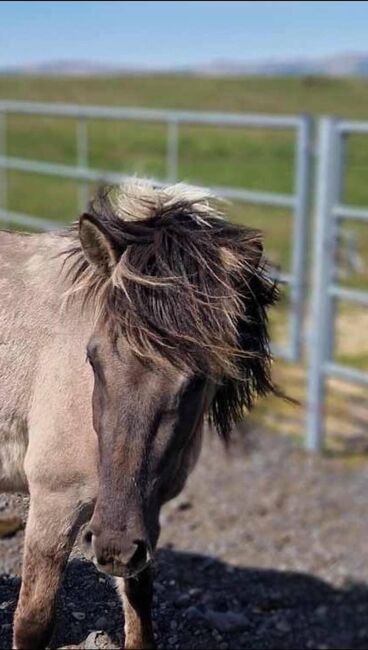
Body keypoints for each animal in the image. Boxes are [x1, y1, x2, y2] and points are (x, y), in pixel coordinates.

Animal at [0, 178, 276, 648]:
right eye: (92, 359)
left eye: (197, 379)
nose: (112, 548)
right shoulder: (56, 501)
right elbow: (33, 620)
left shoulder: (143, 516)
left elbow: (140, 609)